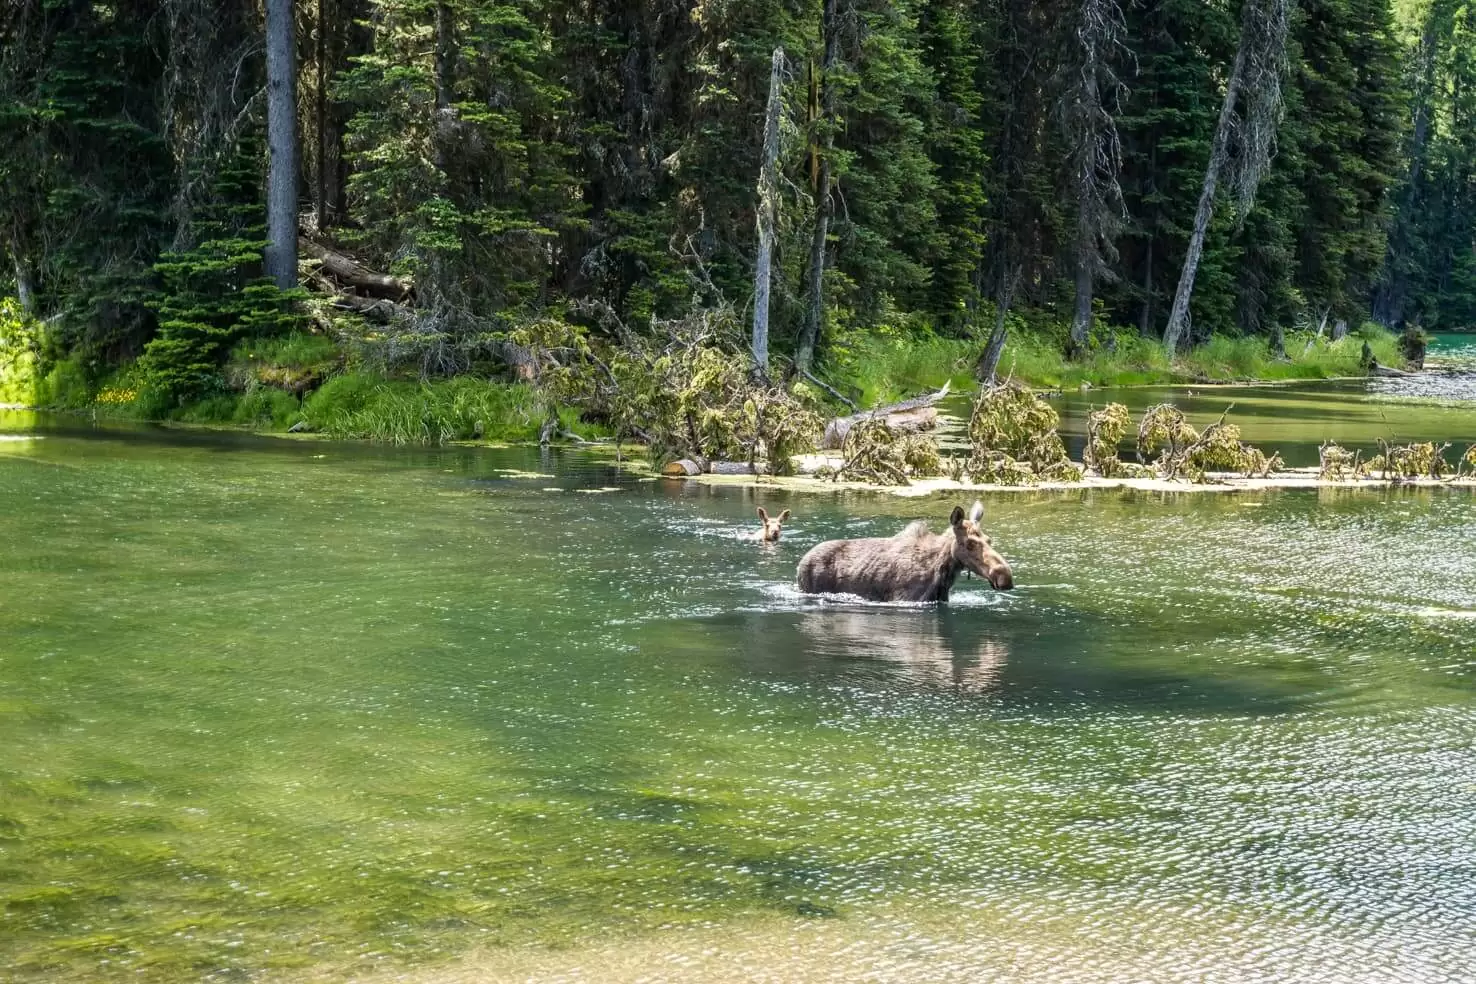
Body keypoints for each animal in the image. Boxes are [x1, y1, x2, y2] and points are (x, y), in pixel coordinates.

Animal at [797, 504, 1015, 604]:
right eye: (969, 543)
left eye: (989, 540)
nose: (1004, 576)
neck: (942, 573)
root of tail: (800, 564)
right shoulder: (905, 598)